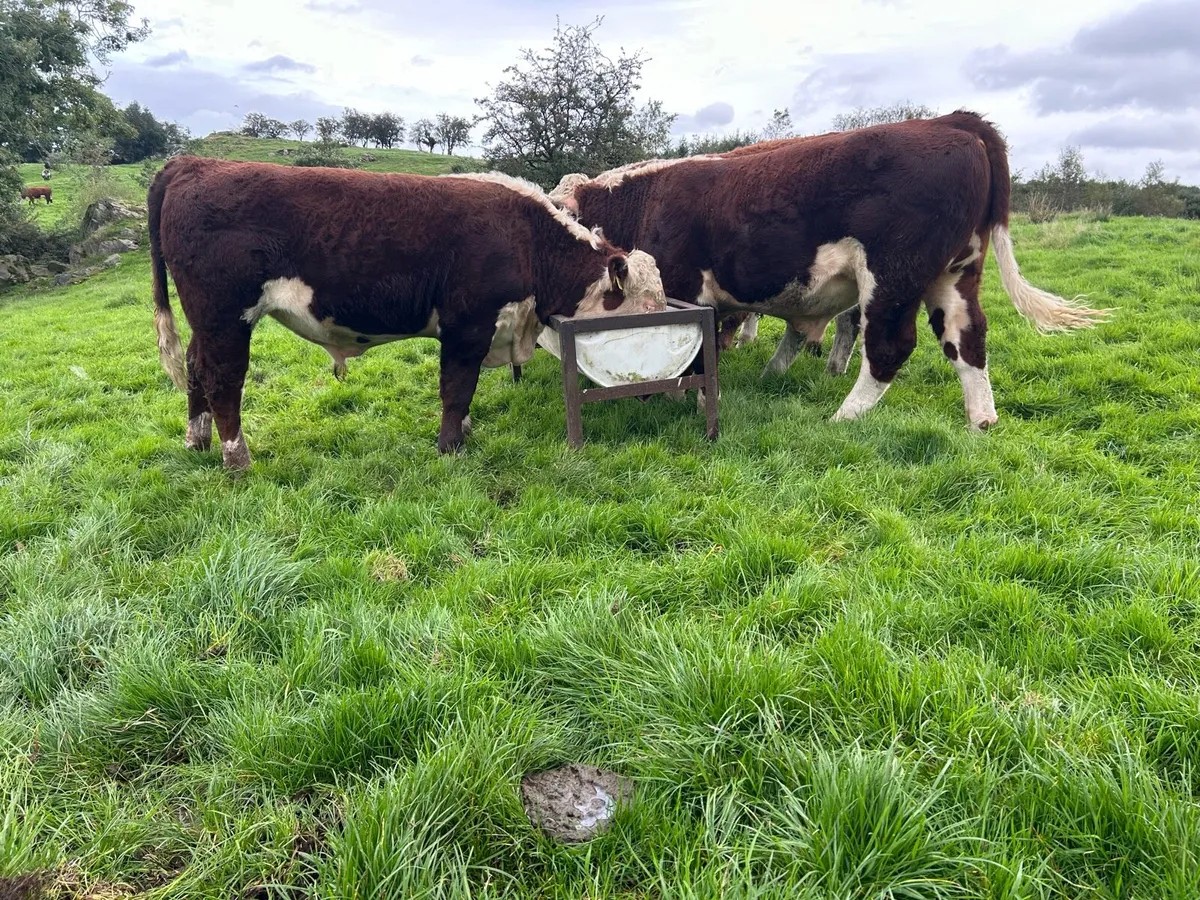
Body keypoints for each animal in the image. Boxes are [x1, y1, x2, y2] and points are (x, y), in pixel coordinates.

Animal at [148, 156, 668, 470]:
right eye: (645, 307)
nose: (650, 389)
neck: (527, 238)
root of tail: (192, 162)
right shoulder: (468, 326)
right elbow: (457, 390)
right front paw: (451, 447)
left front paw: (463, 434)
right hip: (225, 316)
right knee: (223, 379)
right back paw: (237, 460)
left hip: (207, 322)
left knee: (194, 367)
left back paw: (197, 440)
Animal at [549, 111, 1109, 430]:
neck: (644, 199)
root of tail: (952, 120)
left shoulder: (687, 290)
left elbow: (697, 355)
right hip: (955, 274)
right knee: (967, 340)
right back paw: (981, 421)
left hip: (893, 275)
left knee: (888, 346)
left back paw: (844, 416)